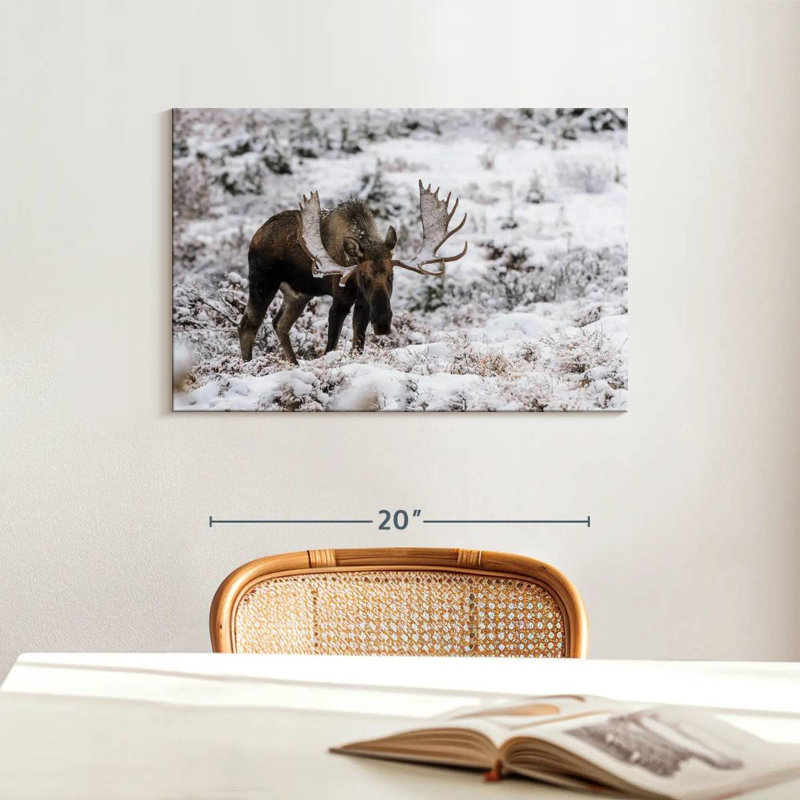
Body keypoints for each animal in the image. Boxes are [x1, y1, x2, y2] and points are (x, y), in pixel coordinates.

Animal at [238, 180, 468, 365]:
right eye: (363, 277)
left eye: (391, 276)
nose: (383, 323)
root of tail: (257, 233)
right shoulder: (340, 298)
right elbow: (330, 347)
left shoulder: (363, 302)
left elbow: (358, 345)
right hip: (263, 280)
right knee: (248, 324)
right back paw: (247, 366)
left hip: (299, 293)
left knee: (279, 324)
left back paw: (293, 363)